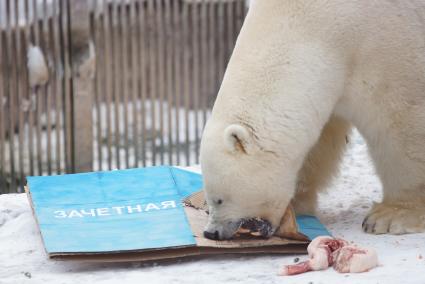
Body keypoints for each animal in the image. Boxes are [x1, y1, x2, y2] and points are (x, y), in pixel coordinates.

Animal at [200, 0, 424, 240]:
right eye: (209, 200)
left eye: (219, 199)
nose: (211, 232)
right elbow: (319, 142)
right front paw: (297, 201)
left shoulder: (386, 46)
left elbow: (400, 120)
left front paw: (392, 215)